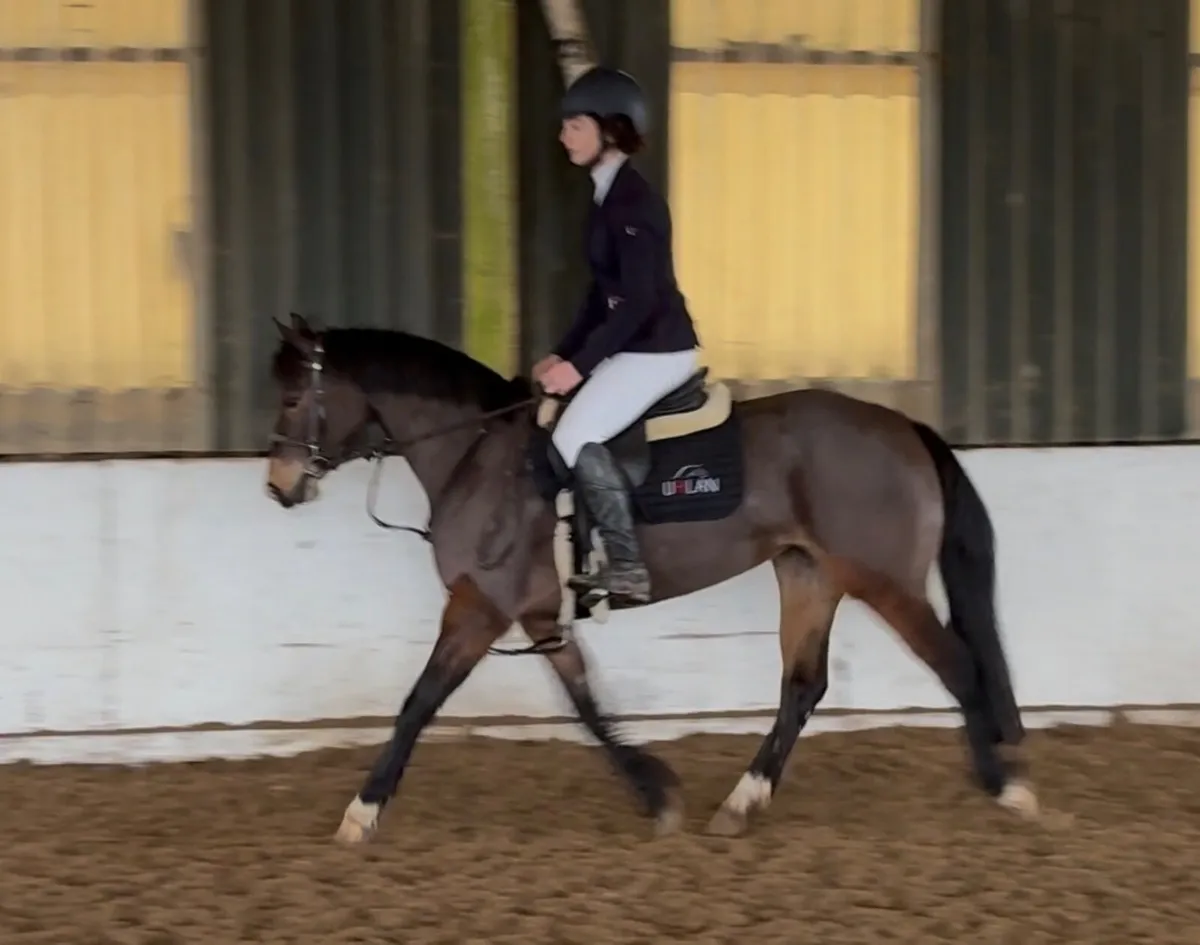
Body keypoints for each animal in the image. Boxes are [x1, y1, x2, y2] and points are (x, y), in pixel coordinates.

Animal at [264, 312, 1039, 843]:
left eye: (292, 399)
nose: (279, 487)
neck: (477, 454)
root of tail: (903, 427)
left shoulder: (480, 606)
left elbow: (418, 702)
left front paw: (361, 813)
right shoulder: (539, 615)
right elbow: (585, 703)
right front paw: (657, 795)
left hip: (884, 580)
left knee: (956, 664)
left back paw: (1007, 789)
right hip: (808, 572)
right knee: (803, 685)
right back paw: (741, 802)